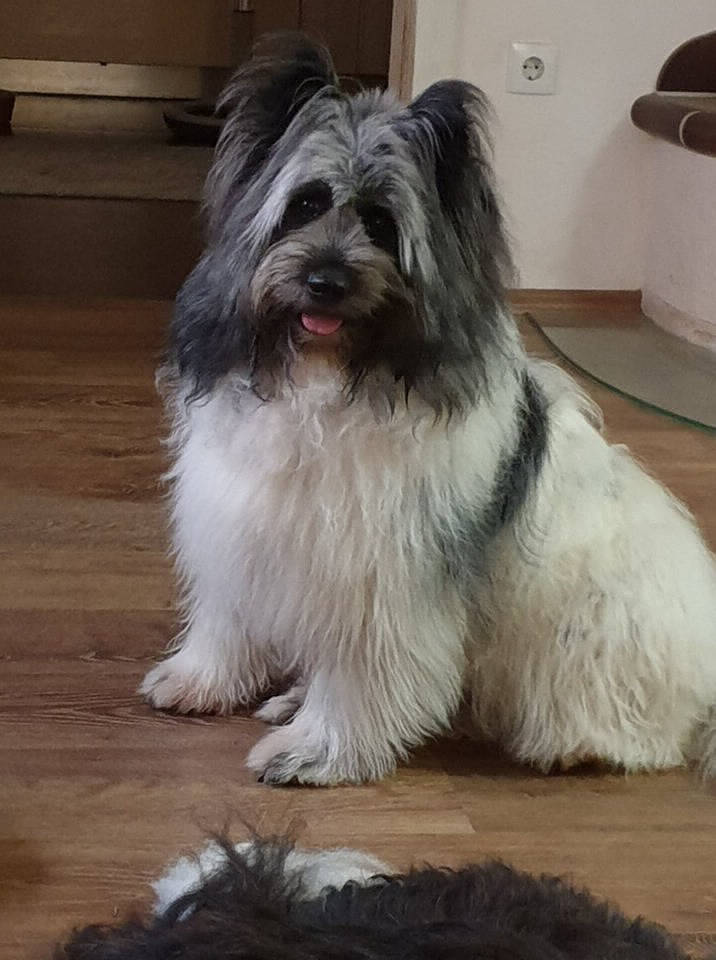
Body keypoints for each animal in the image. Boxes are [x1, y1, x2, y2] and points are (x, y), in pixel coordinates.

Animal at [140, 34, 716, 784]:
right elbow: (227, 620)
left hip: (588, 639)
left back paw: (575, 746)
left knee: (635, 733)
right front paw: (201, 680)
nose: (326, 281)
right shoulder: (242, 528)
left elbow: (360, 676)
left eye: (383, 224)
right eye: (305, 204)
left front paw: (317, 749)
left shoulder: (380, 577)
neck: (331, 376)